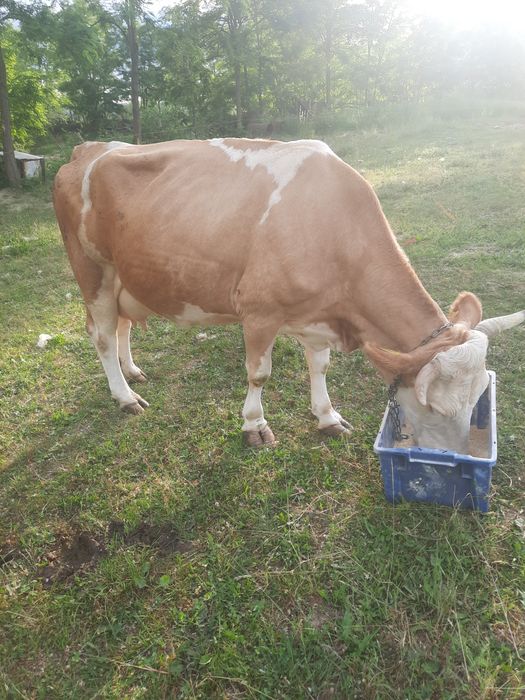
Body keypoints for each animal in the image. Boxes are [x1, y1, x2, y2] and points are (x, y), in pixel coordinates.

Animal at [53, 138, 525, 452]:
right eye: (440, 410)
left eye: (479, 397)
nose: (461, 455)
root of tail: (88, 149)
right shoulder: (259, 311)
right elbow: (259, 374)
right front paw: (254, 426)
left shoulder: (318, 314)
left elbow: (320, 366)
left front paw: (327, 417)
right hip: (92, 271)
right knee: (101, 334)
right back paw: (124, 396)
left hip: (126, 276)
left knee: (122, 326)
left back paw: (132, 371)